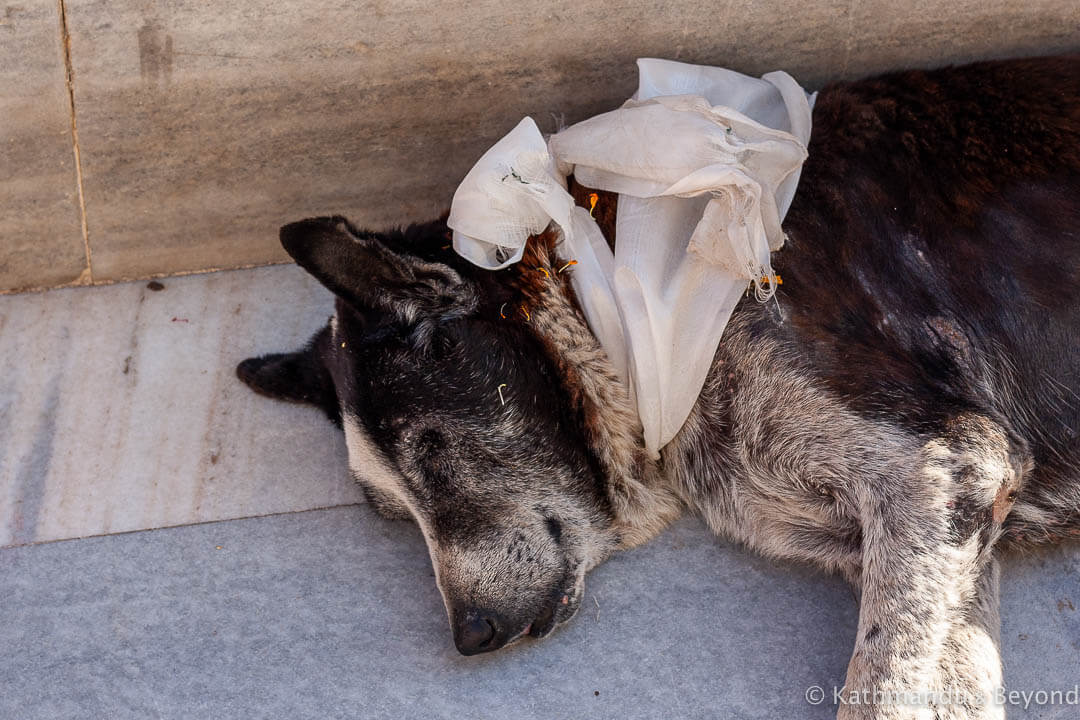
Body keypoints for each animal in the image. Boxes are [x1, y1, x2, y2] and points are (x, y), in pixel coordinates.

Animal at [238, 57, 1080, 720]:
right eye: (392, 514)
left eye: (434, 455)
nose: (469, 637)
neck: (608, 283)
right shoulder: (944, 536)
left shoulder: (943, 466)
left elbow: (883, 686)